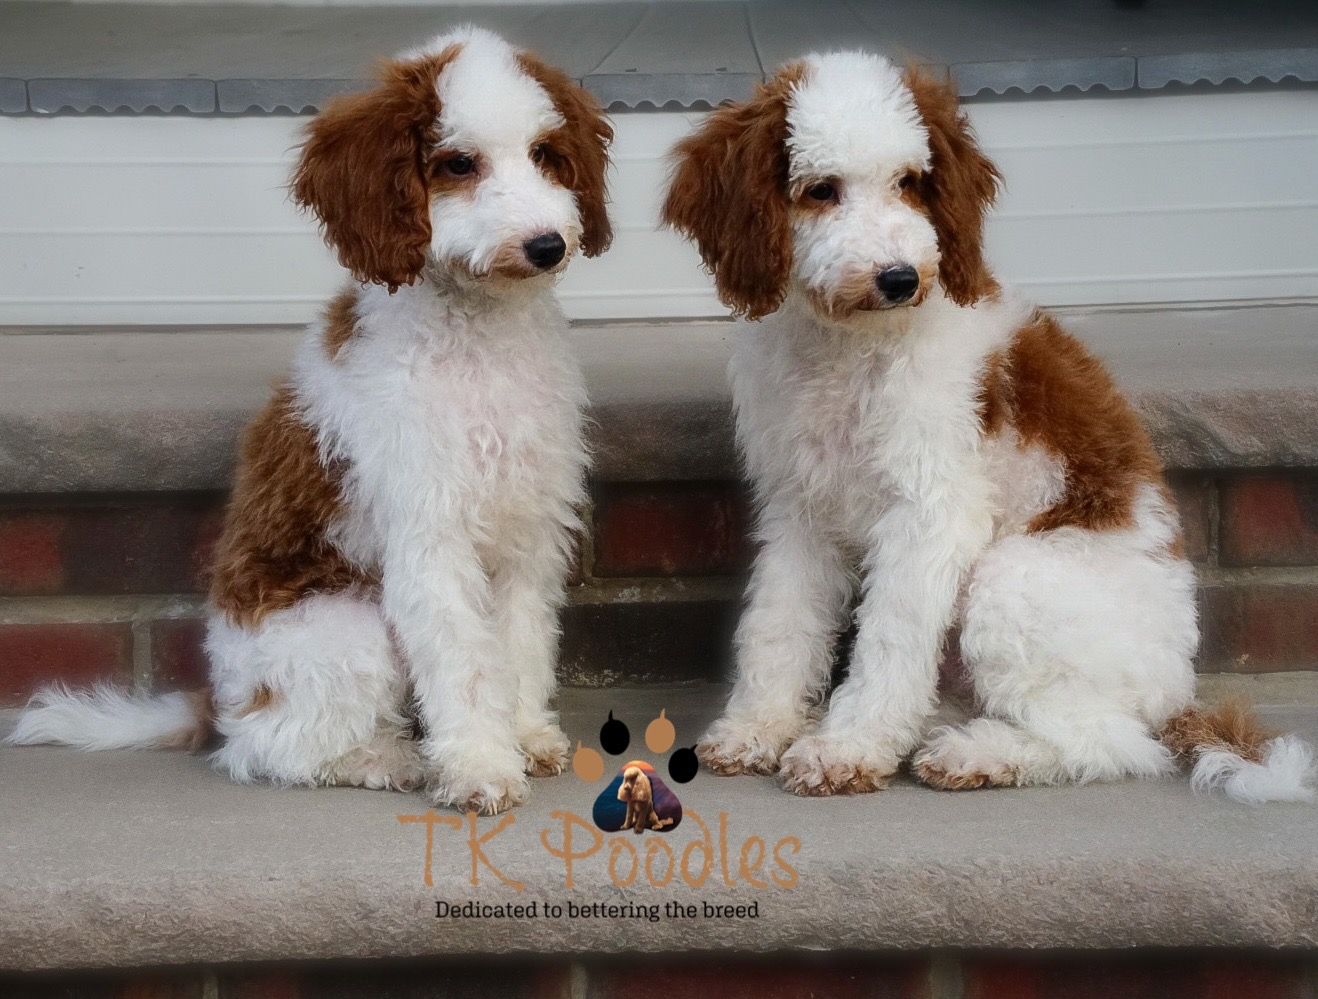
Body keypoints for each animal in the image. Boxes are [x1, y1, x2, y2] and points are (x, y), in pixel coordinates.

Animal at [7, 28, 613, 816]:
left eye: (546, 153)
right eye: (458, 163)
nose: (547, 245)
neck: (480, 338)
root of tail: (220, 701)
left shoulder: (528, 528)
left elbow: (519, 642)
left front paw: (527, 736)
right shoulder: (429, 536)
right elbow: (463, 660)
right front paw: (480, 765)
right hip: (343, 626)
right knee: (269, 751)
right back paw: (390, 759)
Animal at [662, 51, 1314, 804]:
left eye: (910, 183)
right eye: (820, 190)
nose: (899, 278)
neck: (850, 346)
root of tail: (1178, 691)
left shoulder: (931, 511)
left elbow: (890, 638)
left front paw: (845, 748)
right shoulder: (799, 507)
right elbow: (779, 622)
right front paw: (756, 727)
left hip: (1013, 581)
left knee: (1111, 742)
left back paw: (976, 755)